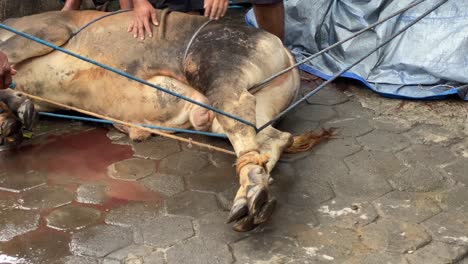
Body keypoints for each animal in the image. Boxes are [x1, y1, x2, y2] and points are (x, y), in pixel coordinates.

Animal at [0, 9, 330, 231]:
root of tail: (286, 51)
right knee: (273, 138)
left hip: (217, 69)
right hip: (229, 111)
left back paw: (250, 196)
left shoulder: (48, 29)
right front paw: (11, 121)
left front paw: (16, 113)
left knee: (241, 114)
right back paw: (252, 201)